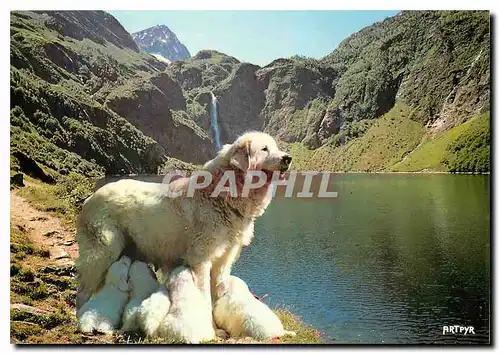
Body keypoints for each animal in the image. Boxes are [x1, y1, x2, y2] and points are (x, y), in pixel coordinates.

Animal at [75, 131, 292, 310]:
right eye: (264, 149)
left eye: (275, 147)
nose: (288, 158)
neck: (223, 194)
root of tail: (90, 197)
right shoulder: (200, 259)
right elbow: (204, 295)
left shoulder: (224, 259)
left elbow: (219, 289)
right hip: (103, 253)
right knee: (83, 291)